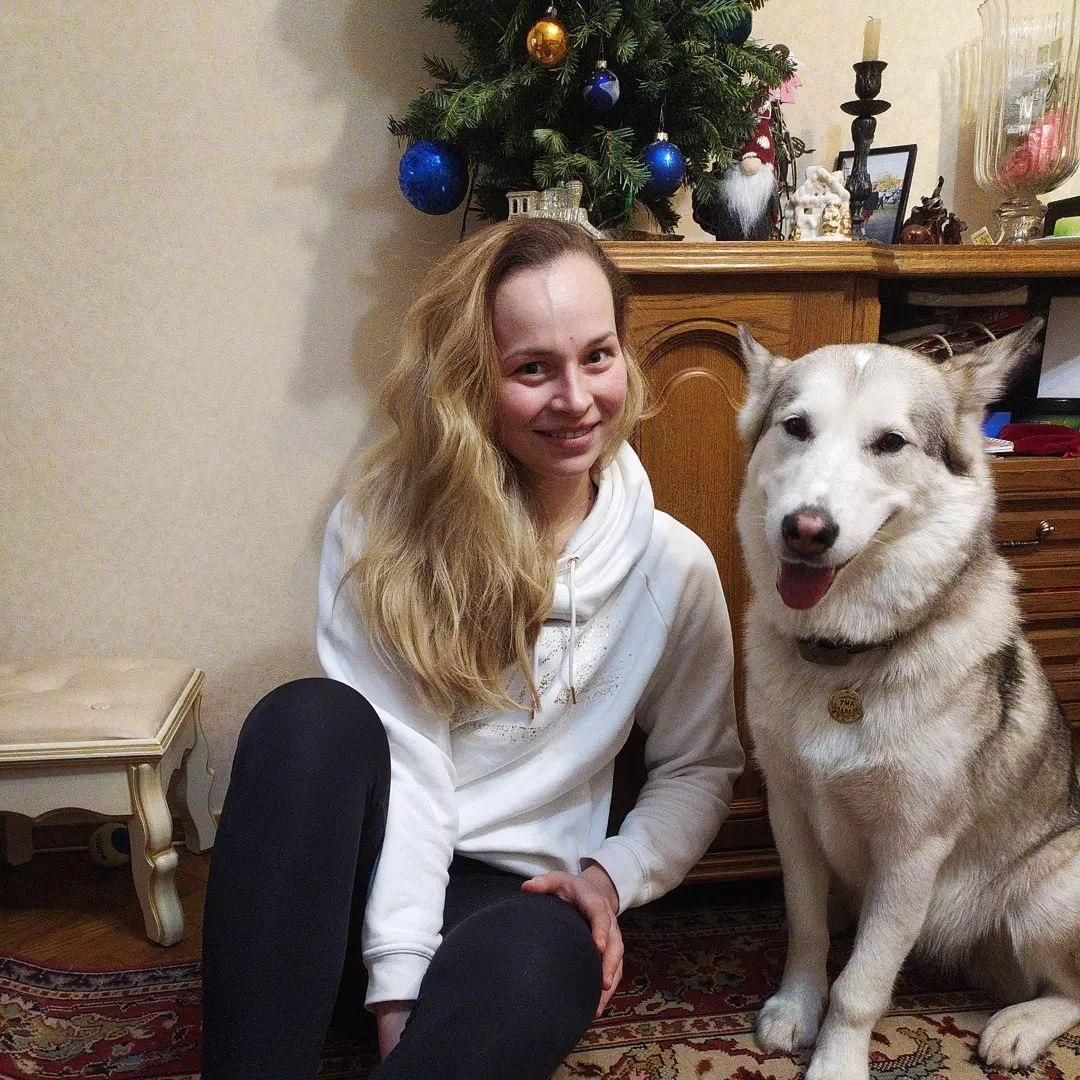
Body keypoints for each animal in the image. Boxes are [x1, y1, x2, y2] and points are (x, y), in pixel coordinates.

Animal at [734, 321, 1080, 1080]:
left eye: (890, 442)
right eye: (796, 428)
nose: (806, 529)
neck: (844, 660)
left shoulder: (911, 852)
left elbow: (860, 984)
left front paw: (836, 1061)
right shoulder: (789, 815)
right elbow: (807, 931)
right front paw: (796, 1007)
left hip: (1046, 898)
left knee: (1072, 990)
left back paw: (1019, 1028)